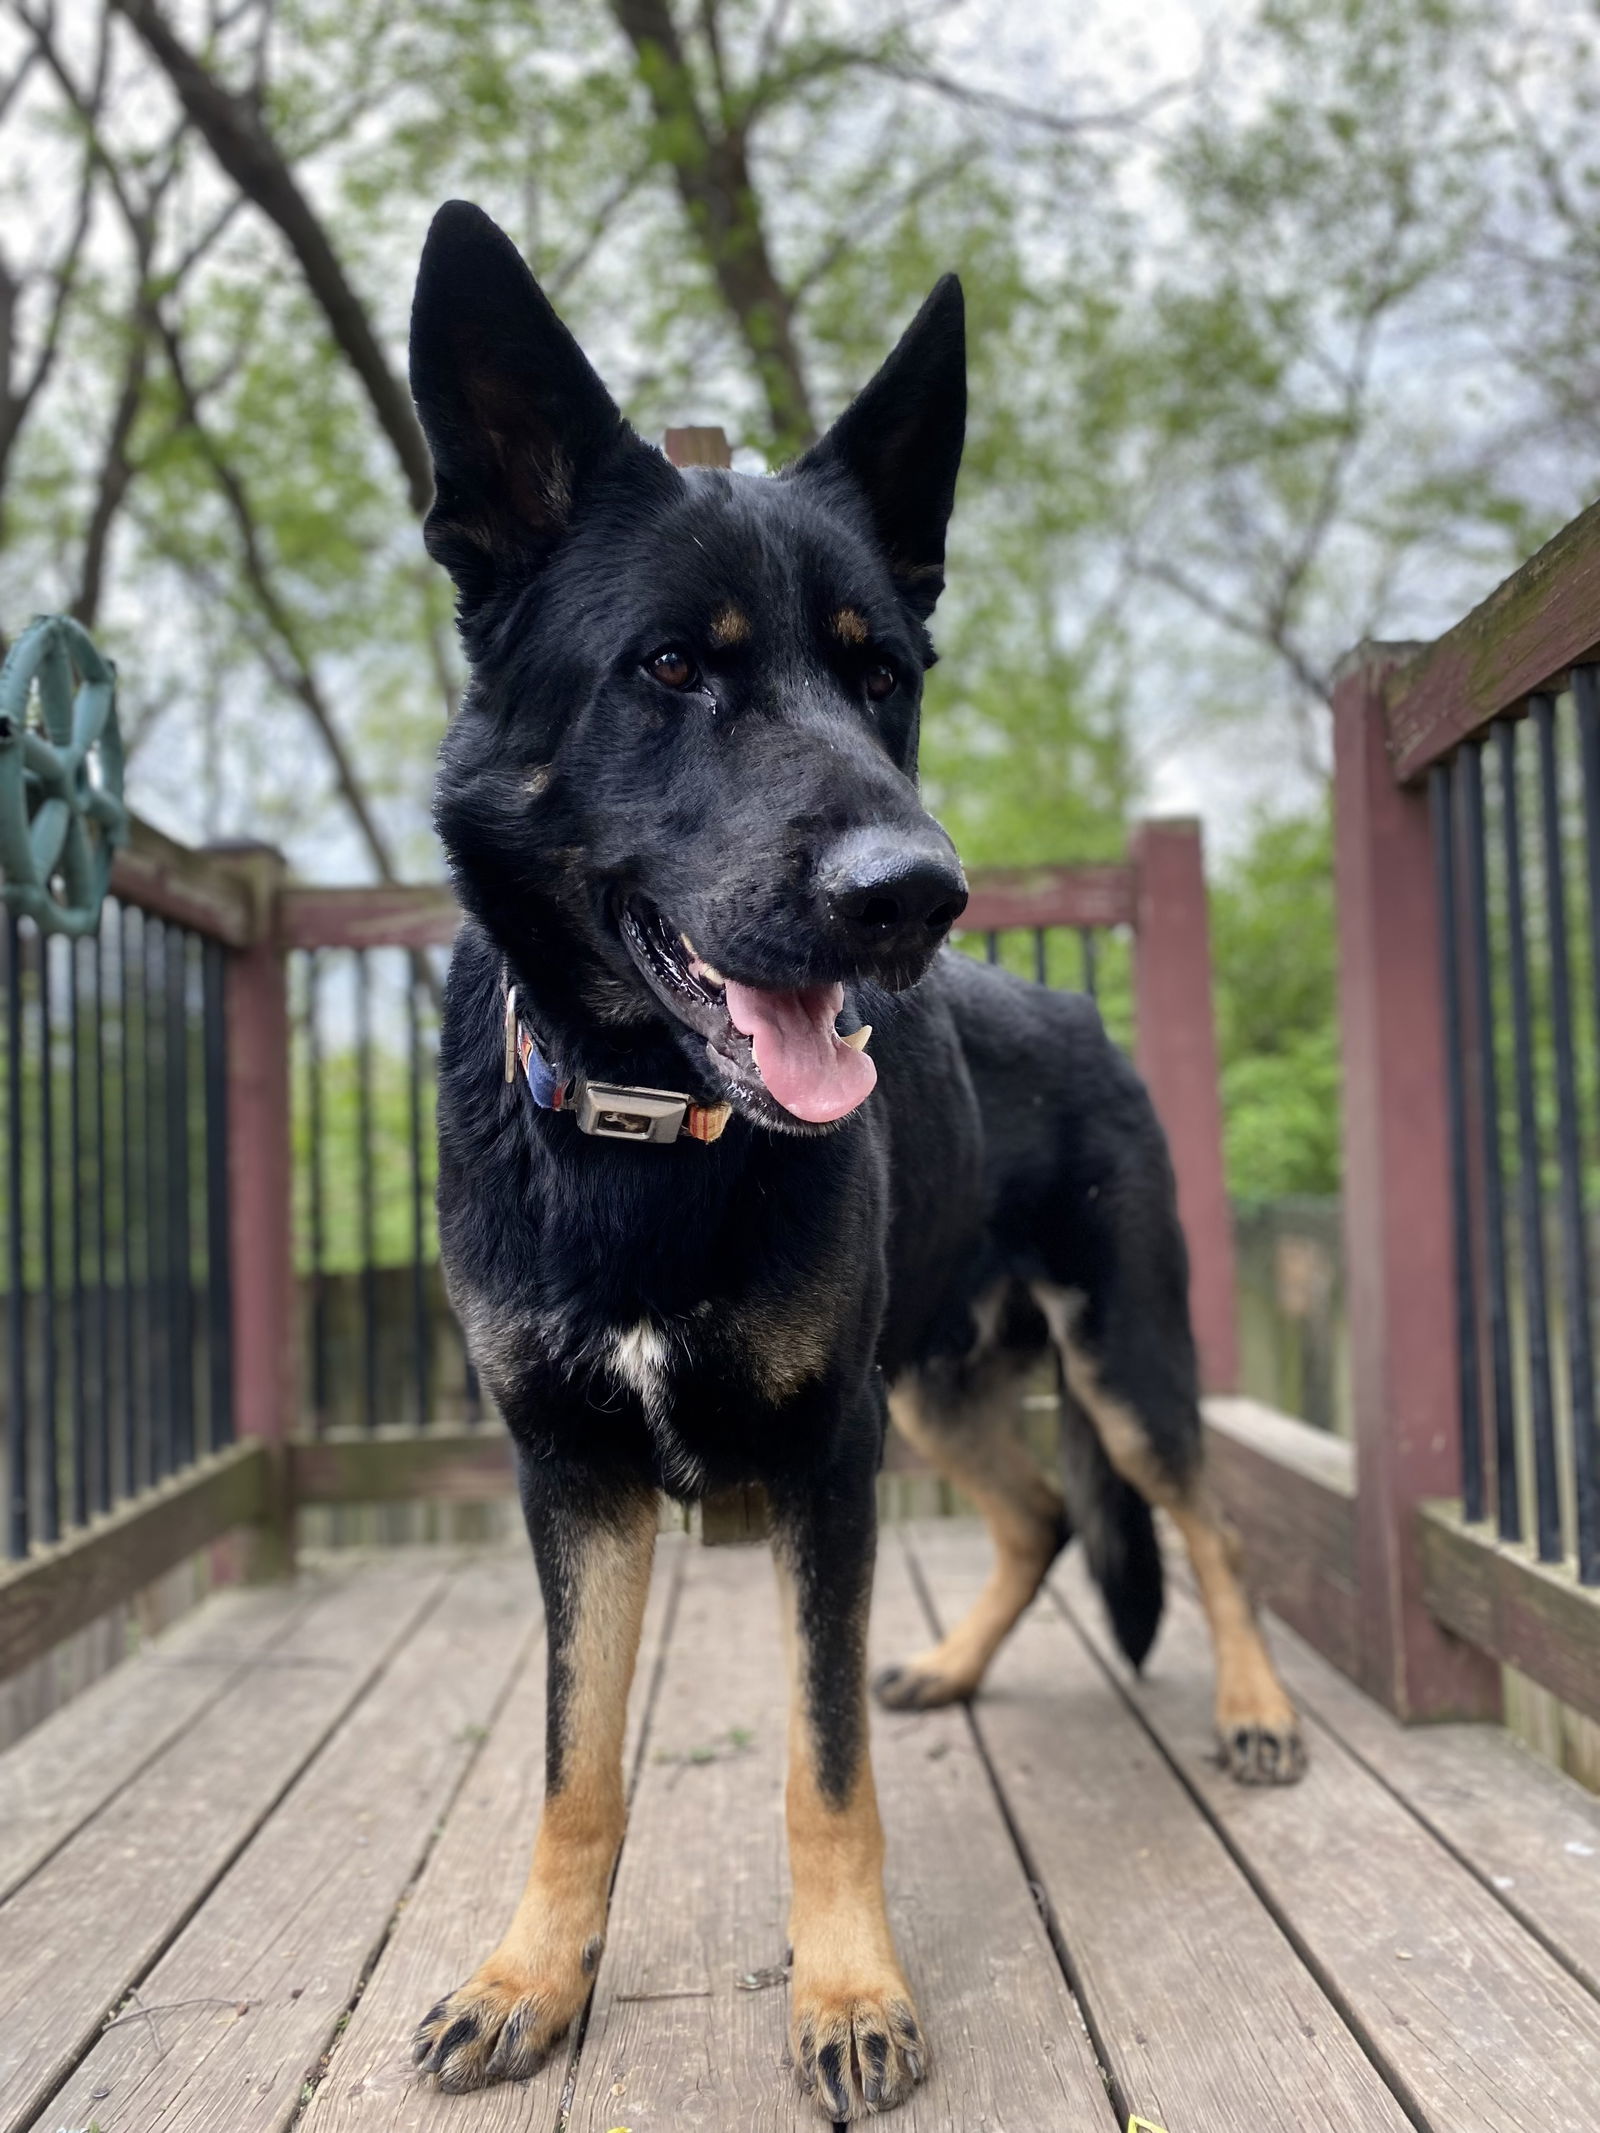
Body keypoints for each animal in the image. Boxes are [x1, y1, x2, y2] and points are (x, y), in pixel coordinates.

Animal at [407, 200, 1305, 2115]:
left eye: (879, 674)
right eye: (672, 667)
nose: (917, 896)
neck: (647, 1131)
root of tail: (1079, 1013)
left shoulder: (821, 1468)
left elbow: (818, 1776)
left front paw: (847, 1992)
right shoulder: (577, 1480)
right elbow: (575, 1764)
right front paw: (532, 1974)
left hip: (1116, 1359)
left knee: (1195, 1520)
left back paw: (1258, 1705)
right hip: (937, 1391)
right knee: (1041, 1514)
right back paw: (956, 1666)